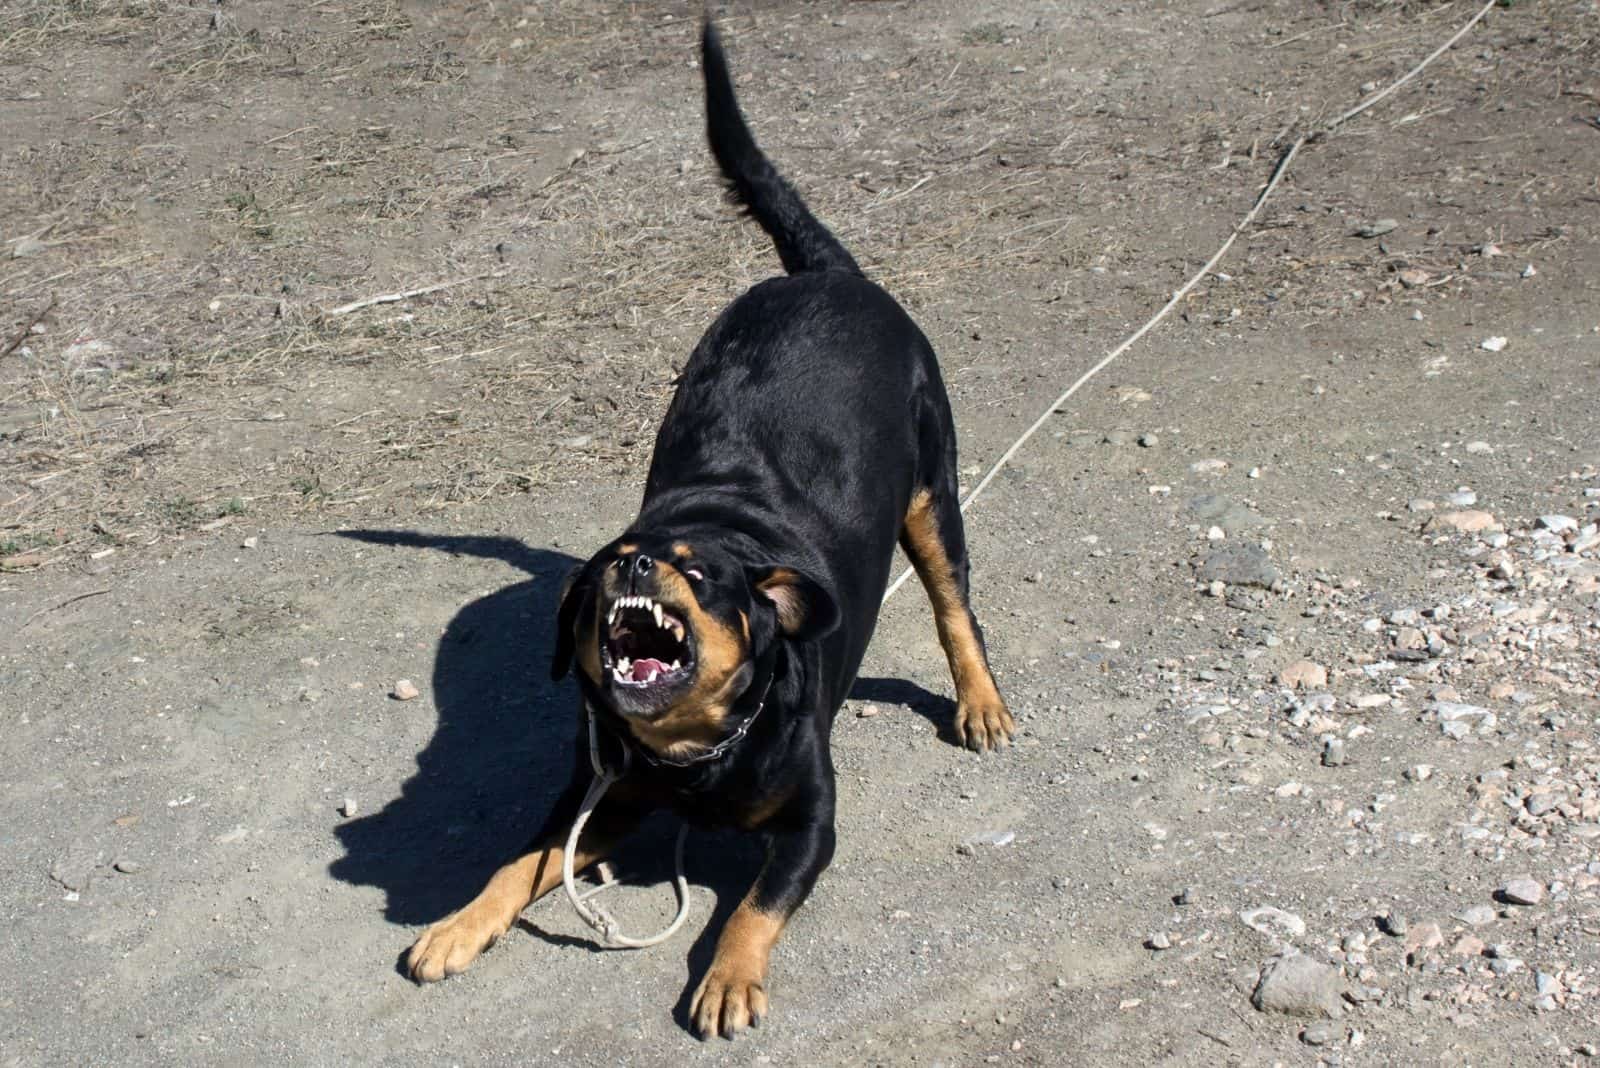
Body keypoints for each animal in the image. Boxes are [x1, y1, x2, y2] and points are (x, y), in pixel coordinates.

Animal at [409, 18, 1011, 1036]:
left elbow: (755, 908)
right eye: (609, 564)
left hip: (934, 494)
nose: (636, 567)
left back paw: (980, 701)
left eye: (694, 574)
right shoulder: (597, 798)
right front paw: (456, 925)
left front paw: (728, 977)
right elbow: (516, 864)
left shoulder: (812, 824)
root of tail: (828, 275)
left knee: (952, 607)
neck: (691, 757)